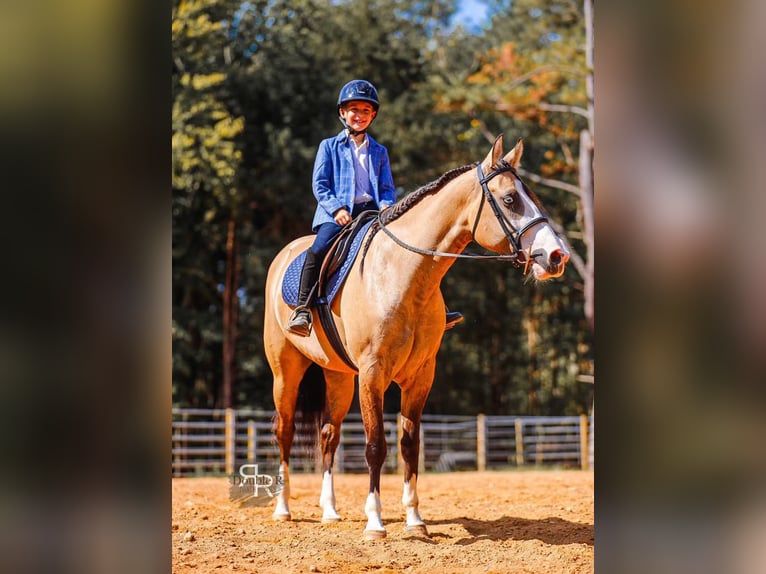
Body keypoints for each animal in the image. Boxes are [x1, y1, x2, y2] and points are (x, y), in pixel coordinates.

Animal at [263, 134, 570, 540]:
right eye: (509, 200)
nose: (556, 256)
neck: (403, 274)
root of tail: (286, 253)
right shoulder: (373, 374)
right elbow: (376, 446)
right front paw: (375, 522)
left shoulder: (421, 376)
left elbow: (410, 445)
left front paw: (414, 520)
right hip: (286, 371)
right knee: (283, 432)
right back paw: (283, 509)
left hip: (338, 377)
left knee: (329, 434)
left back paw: (329, 511)